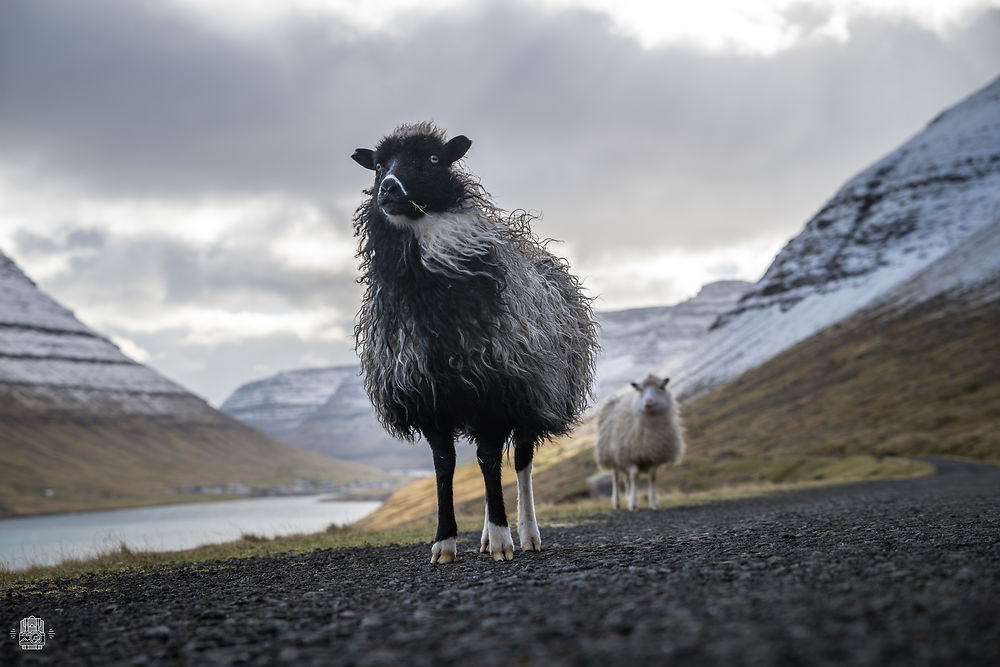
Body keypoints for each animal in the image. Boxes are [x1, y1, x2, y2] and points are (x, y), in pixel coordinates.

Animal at [352, 121, 592, 564]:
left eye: (432, 159)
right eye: (378, 166)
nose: (388, 189)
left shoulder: (496, 389)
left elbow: (490, 462)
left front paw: (501, 540)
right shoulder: (434, 397)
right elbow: (445, 465)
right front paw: (444, 543)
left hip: (534, 392)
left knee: (519, 463)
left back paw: (526, 534)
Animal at [596, 374, 684, 508]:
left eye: (661, 387)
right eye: (640, 389)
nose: (648, 401)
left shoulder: (654, 457)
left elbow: (652, 477)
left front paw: (653, 503)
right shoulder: (631, 455)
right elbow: (635, 476)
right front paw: (633, 504)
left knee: (626, 479)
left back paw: (627, 497)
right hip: (613, 455)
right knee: (616, 477)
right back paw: (617, 502)